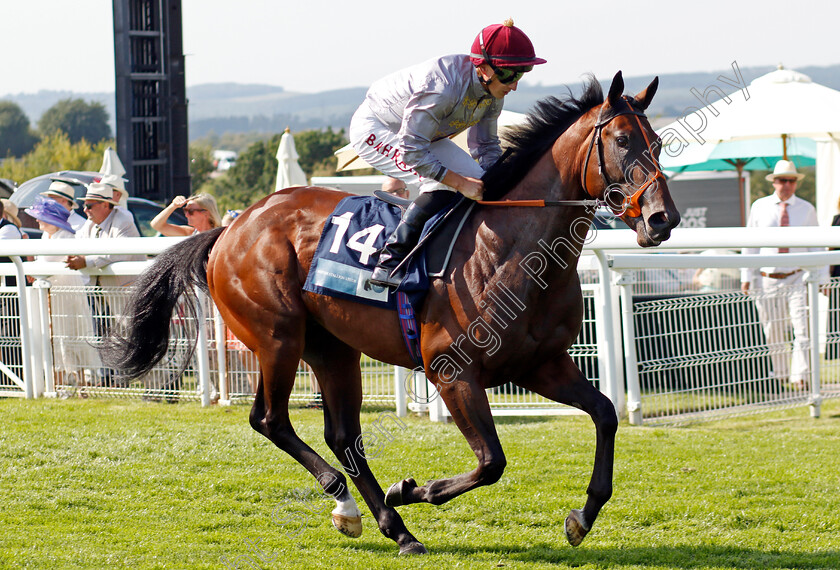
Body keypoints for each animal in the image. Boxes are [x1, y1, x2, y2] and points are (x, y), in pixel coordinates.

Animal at [105, 72, 684, 556]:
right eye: (622, 141)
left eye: (656, 143)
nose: (663, 219)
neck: (513, 247)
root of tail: (231, 227)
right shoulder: (452, 372)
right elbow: (491, 462)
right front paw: (411, 488)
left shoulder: (541, 364)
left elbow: (605, 414)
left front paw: (582, 517)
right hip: (277, 337)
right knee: (270, 419)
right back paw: (346, 501)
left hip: (332, 348)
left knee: (343, 436)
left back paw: (392, 527)